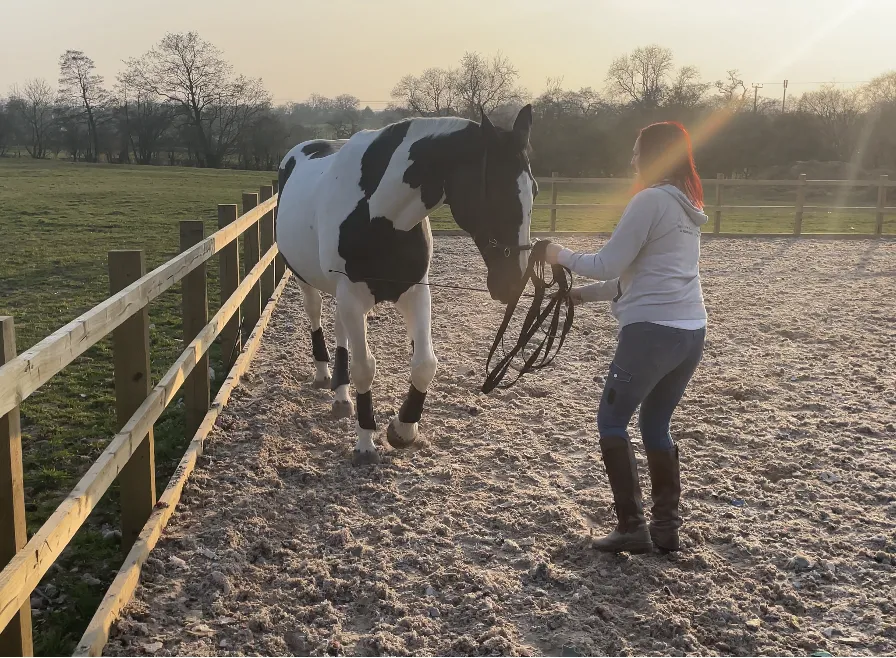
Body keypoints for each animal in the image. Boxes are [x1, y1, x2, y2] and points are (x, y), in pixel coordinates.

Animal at [275, 105, 537, 464]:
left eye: (534, 190)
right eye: (497, 191)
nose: (512, 282)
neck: (379, 214)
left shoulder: (415, 292)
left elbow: (425, 363)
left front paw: (403, 429)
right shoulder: (353, 295)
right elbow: (364, 367)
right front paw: (365, 442)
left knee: (340, 329)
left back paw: (341, 397)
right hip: (310, 282)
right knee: (315, 314)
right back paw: (324, 375)